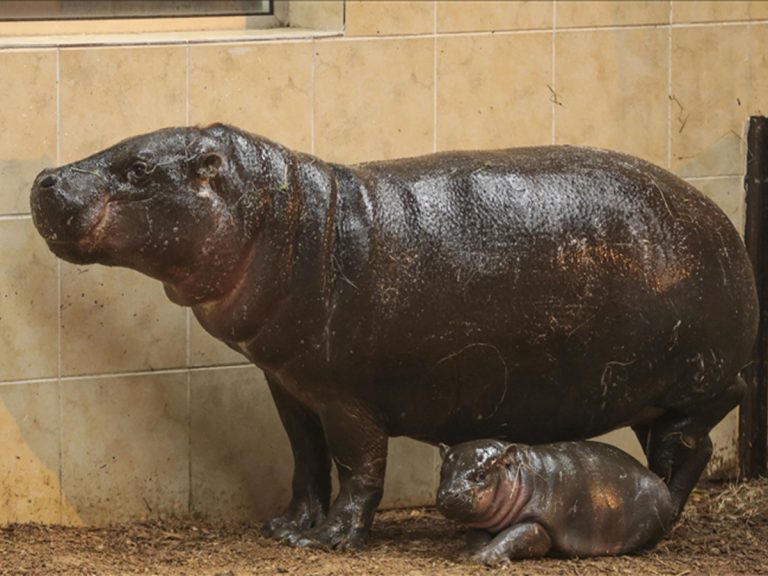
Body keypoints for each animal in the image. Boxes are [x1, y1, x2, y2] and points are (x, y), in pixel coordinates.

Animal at [29, 124, 757, 549]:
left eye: (138, 169)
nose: (42, 177)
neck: (286, 223)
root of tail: (726, 227)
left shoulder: (348, 398)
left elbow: (358, 468)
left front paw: (329, 542)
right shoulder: (290, 386)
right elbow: (304, 460)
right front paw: (285, 529)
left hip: (695, 392)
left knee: (687, 453)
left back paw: (663, 519)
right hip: (656, 398)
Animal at [437, 440, 675, 564]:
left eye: (482, 474)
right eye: (442, 471)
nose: (449, 494)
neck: (521, 476)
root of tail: (657, 479)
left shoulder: (539, 524)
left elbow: (514, 535)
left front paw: (484, 557)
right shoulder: (482, 521)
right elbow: (475, 534)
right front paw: (470, 553)